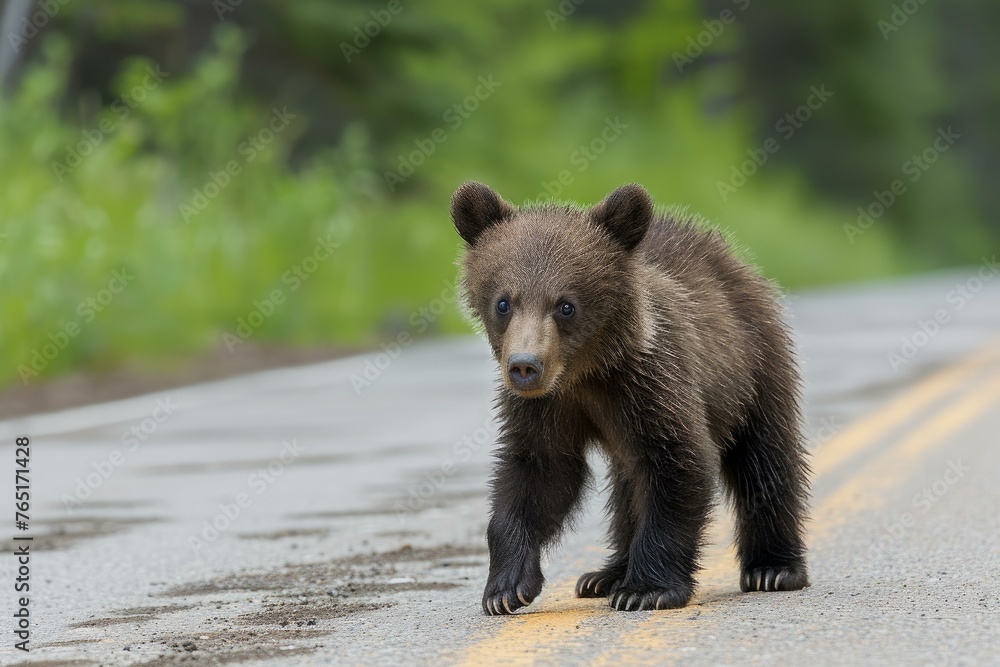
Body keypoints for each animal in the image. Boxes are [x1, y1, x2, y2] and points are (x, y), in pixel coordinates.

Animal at [450, 181, 810, 615]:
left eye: (566, 305)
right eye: (503, 302)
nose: (524, 366)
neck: (587, 373)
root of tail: (731, 257)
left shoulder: (652, 382)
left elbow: (679, 463)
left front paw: (645, 590)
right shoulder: (546, 406)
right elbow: (539, 472)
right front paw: (505, 588)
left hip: (753, 363)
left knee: (765, 460)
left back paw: (773, 569)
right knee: (628, 484)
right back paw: (604, 575)